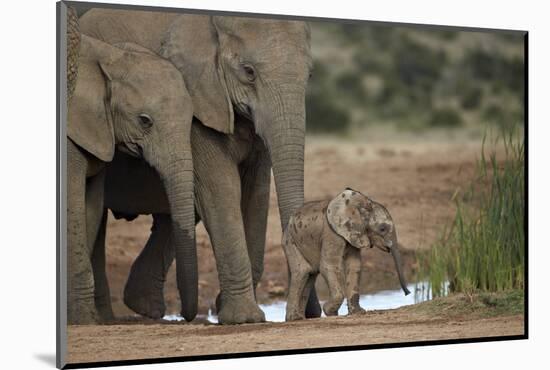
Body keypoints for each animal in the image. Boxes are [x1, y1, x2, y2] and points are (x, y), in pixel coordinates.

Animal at [81, 7, 324, 320]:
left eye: (310, 73)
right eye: (249, 72)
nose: (311, 313)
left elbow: (256, 192)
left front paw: (227, 309)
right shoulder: (200, 98)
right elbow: (220, 188)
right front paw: (243, 319)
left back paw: (143, 307)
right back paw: (106, 318)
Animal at [284, 188, 410, 320]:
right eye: (382, 229)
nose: (407, 293)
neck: (359, 204)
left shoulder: (354, 233)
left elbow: (354, 265)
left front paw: (357, 312)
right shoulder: (331, 233)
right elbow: (329, 266)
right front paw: (330, 312)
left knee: (310, 273)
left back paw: (299, 317)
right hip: (290, 241)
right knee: (302, 271)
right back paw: (295, 318)